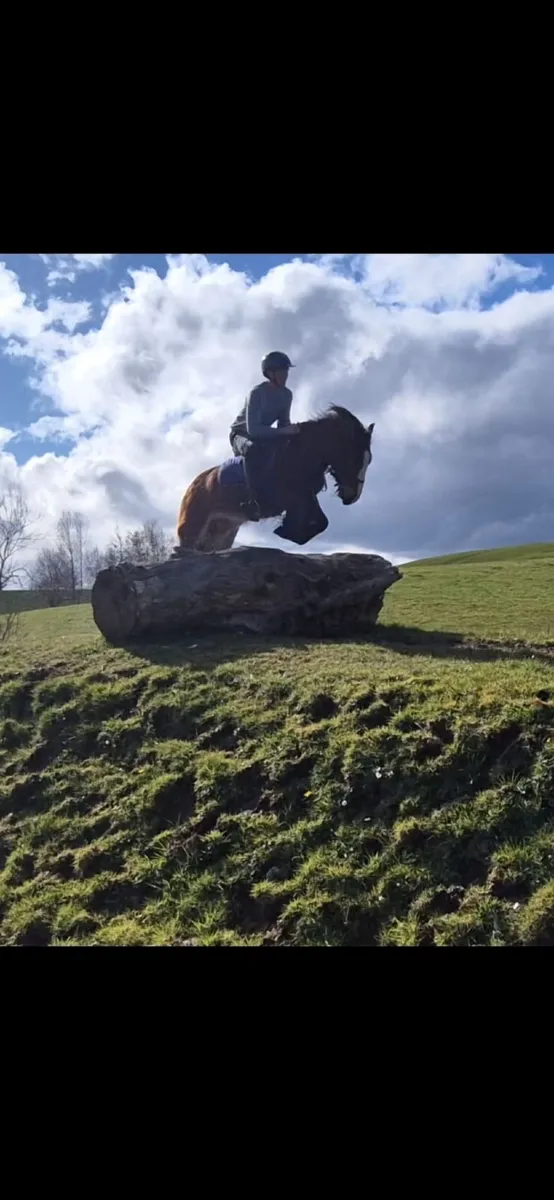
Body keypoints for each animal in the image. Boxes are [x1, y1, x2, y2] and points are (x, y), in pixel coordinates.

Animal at [176, 405, 375, 552]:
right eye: (354, 457)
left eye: (369, 460)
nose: (352, 496)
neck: (304, 452)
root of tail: (193, 485)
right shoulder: (292, 496)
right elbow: (318, 522)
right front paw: (287, 530)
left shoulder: (304, 495)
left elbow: (320, 522)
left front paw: (291, 531)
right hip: (192, 528)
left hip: (223, 530)